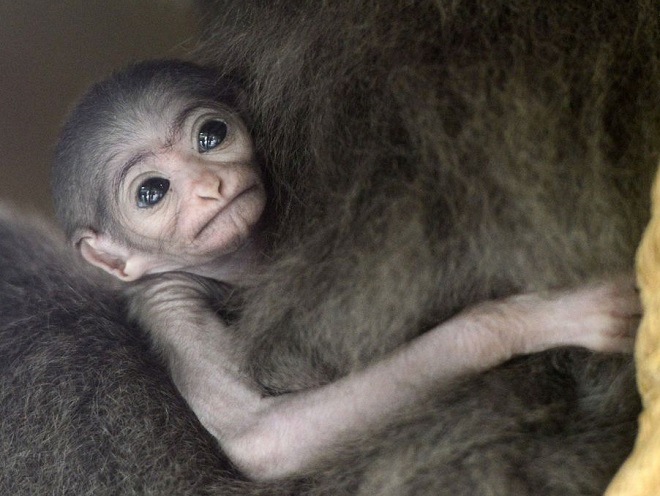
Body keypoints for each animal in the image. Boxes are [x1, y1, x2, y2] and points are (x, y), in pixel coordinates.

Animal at [0, 0, 656, 496]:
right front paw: (524, 321)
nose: (211, 187)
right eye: (152, 193)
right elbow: (266, 437)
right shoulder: (169, 301)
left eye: (211, 136)